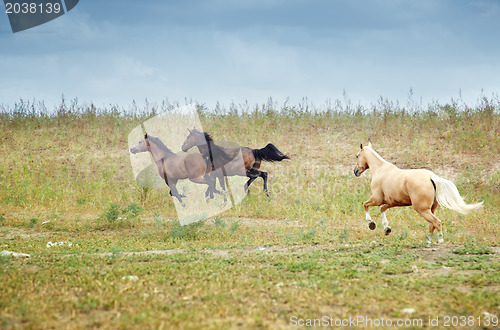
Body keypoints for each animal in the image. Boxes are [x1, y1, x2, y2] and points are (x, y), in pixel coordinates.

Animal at [354, 143, 482, 244]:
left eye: (357, 156)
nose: (355, 171)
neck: (380, 169)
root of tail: (431, 177)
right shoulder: (391, 202)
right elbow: (382, 209)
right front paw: (387, 229)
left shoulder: (376, 199)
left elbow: (365, 205)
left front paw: (371, 224)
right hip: (431, 209)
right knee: (432, 224)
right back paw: (428, 241)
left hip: (422, 209)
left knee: (437, 222)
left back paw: (440, 240)